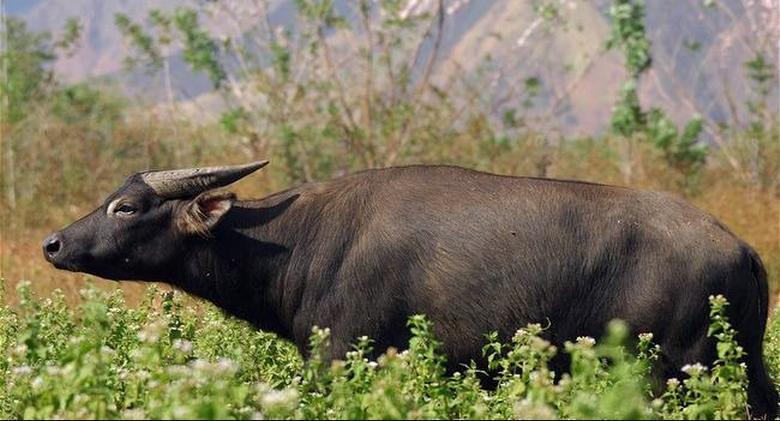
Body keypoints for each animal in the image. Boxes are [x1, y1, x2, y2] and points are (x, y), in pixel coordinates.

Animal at [43, 161, 777, 418]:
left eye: (128, 208)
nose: (54, 243)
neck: (303, 242)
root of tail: (741, 247)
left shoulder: (340, 358)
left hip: (669, 372)